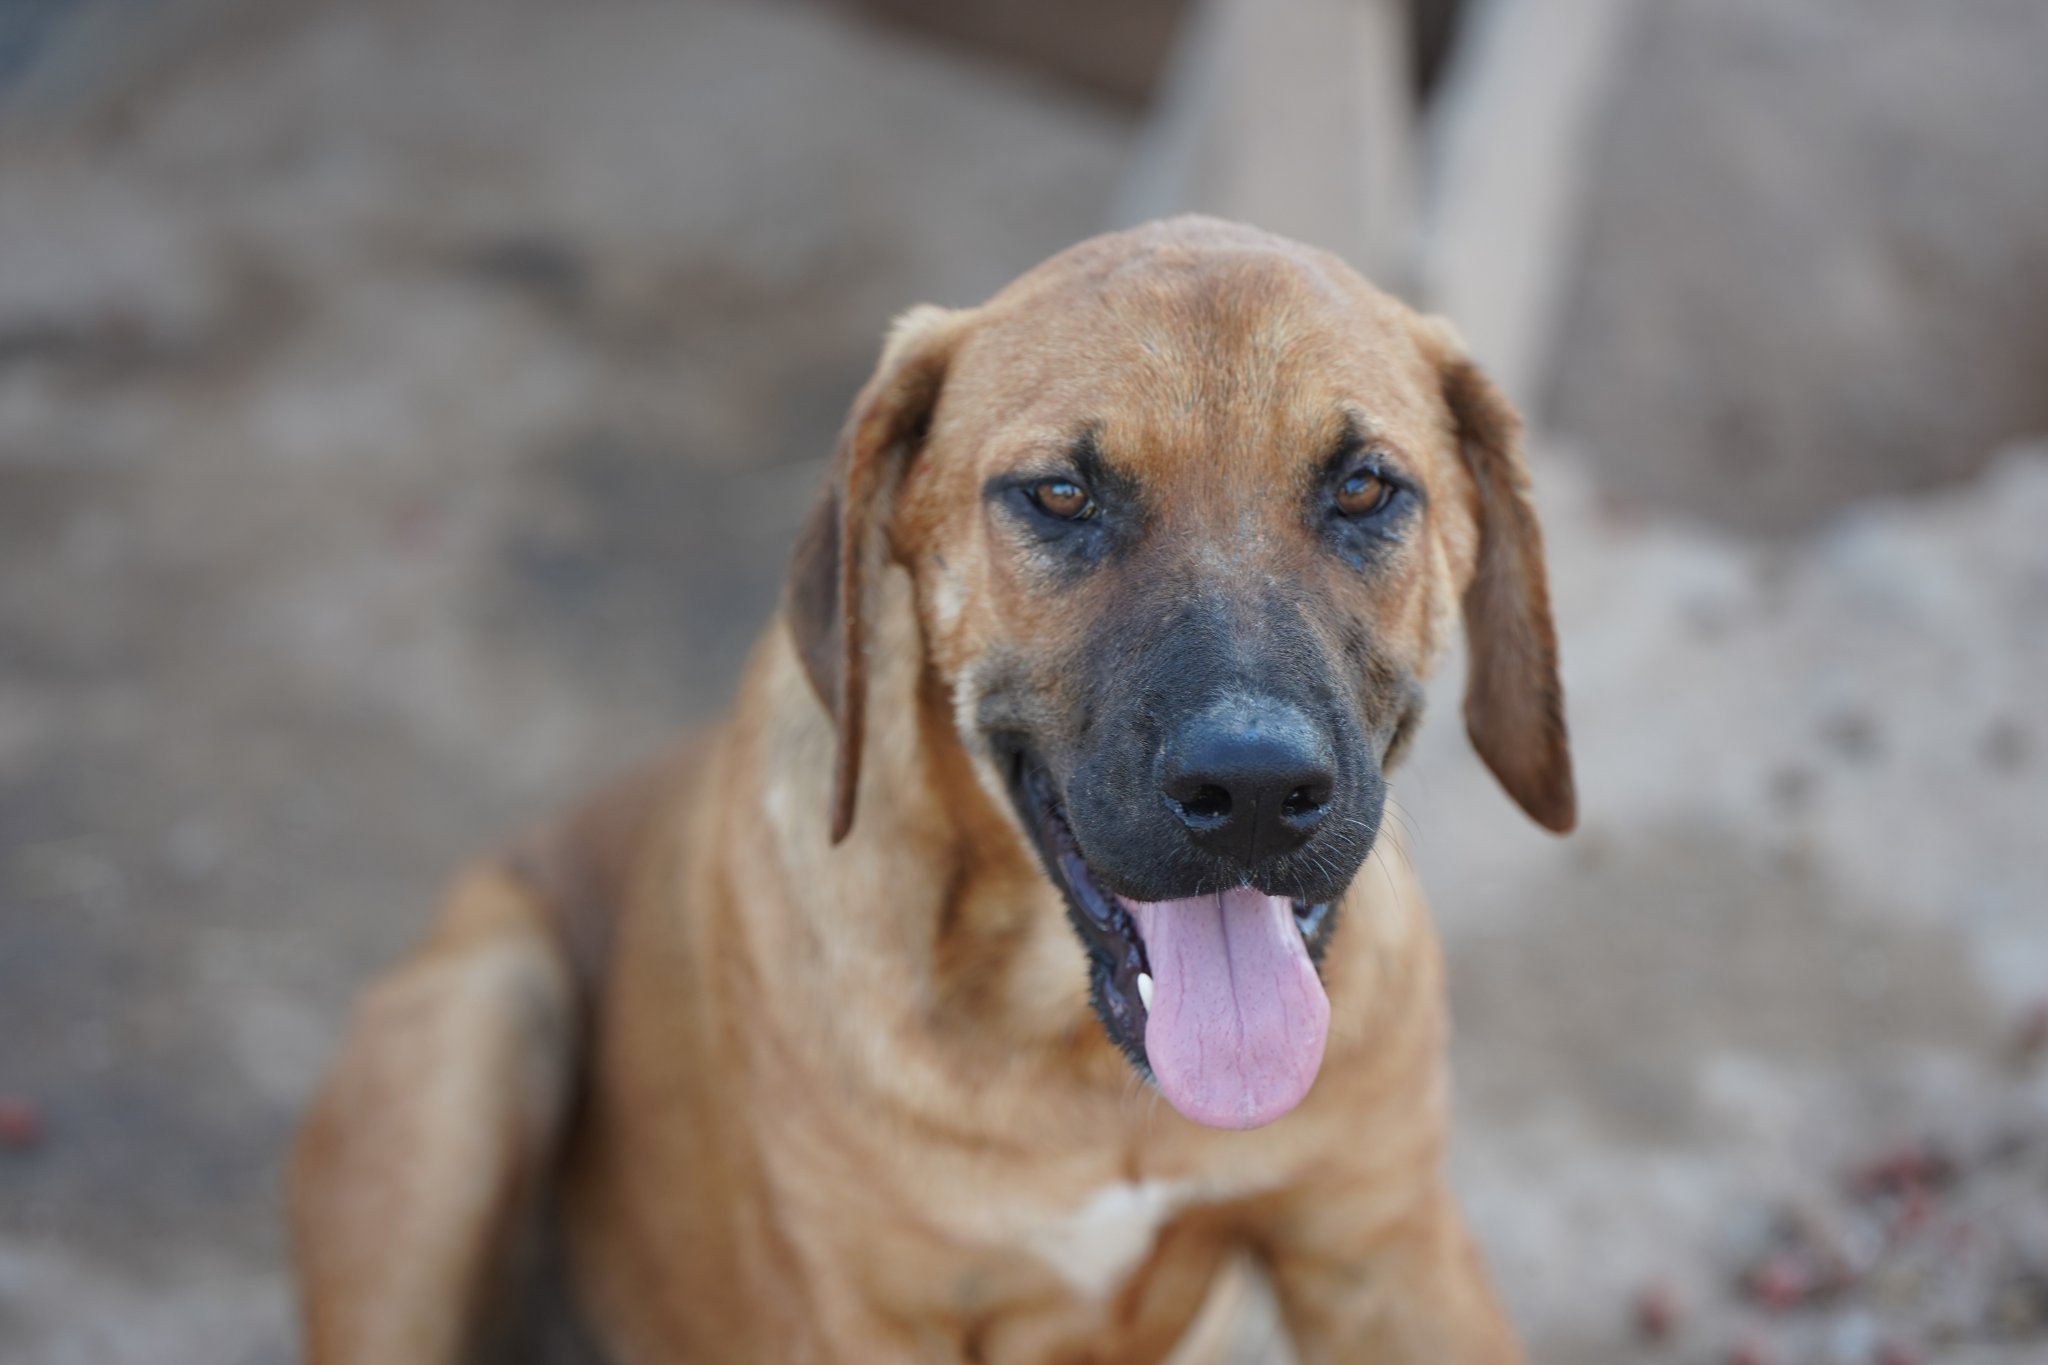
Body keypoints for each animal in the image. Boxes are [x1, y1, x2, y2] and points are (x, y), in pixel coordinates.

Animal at [292, 215, 1564, 1365]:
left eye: (1361, 489)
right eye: (1059, 496)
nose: (1250, 788)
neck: (1080, 1065)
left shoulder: (1381, 1245)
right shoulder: (863, 1315)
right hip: (479, 1024)